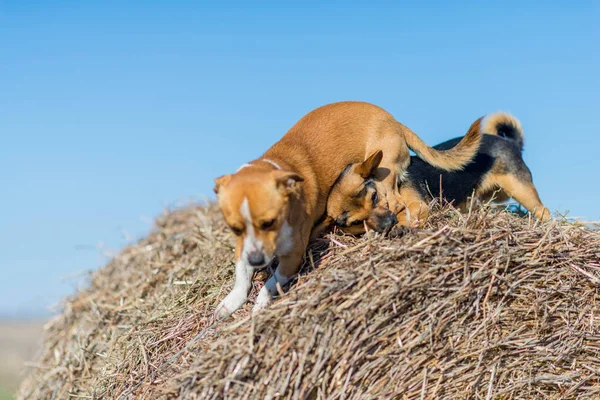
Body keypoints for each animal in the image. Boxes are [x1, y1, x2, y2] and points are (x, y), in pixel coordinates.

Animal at [213, 101, 480, 318]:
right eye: (235, 229)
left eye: (270, 222)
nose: (258, 260)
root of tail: (394, 120)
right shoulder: (244, 247)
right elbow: (241, 275)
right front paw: (231, 301)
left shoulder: (293, 255)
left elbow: (272, 281)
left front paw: (261, 304)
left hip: (383, 169)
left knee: (396, 203)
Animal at [318, 111, 552, 234]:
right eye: (355, 223)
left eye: (374, 197)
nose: (388, 225)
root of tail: (509, 142)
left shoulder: (419, 205)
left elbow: (408, 213)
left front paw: (401, 225)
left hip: (521, 189)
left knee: (544, 211)